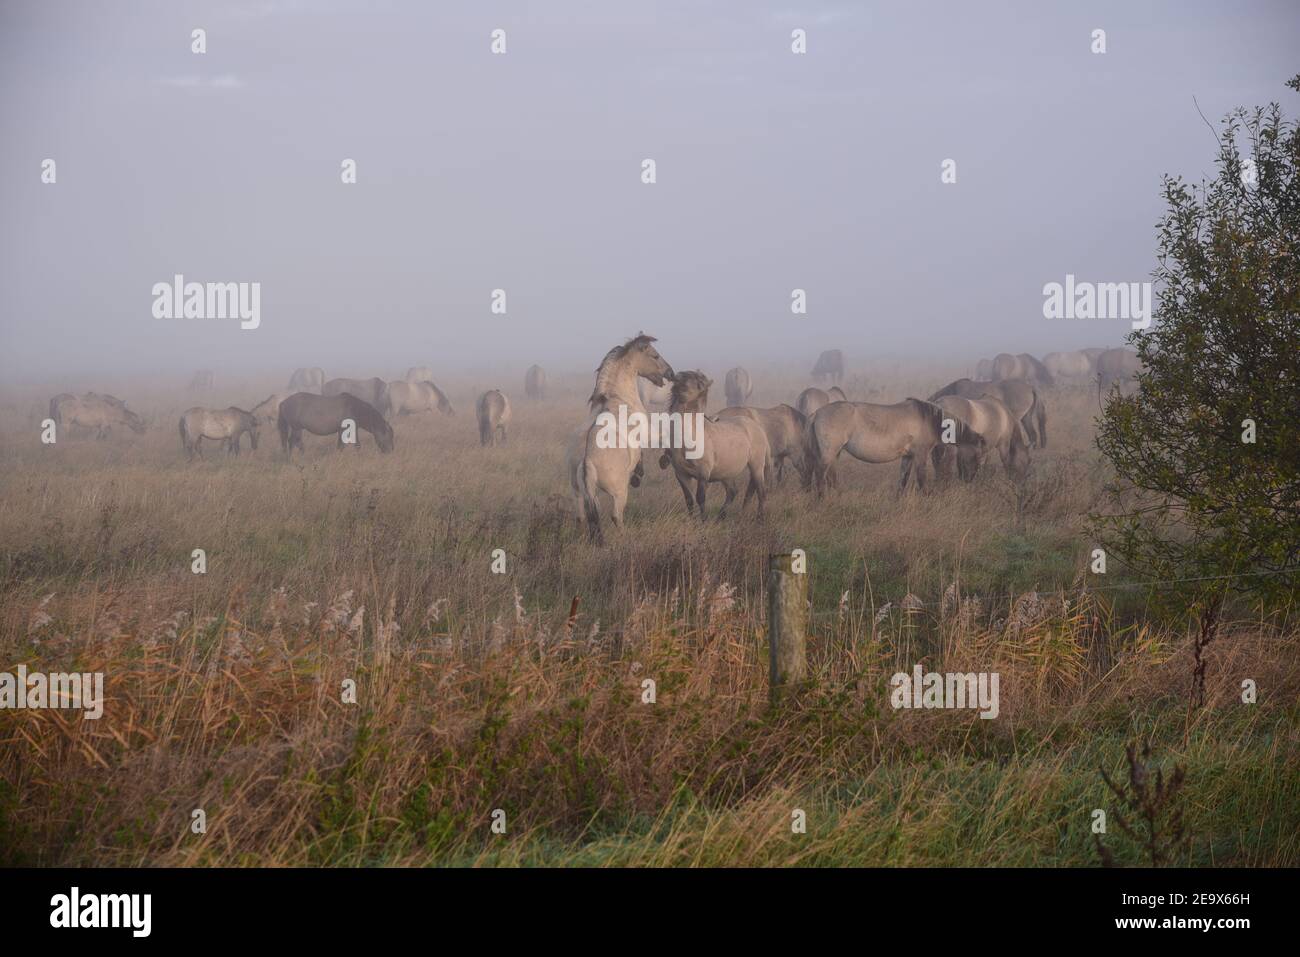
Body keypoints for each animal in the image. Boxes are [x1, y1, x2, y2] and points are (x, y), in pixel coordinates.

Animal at [567, 334, 675, 543]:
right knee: (616, 516)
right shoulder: (648, 434)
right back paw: (626, 539)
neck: (617, 397)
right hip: (619, 492)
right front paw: (662, 461)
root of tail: (587, 462)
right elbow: (664, 437)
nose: (671, 373)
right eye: (655, 356)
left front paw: (639, 472)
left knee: (582, 518)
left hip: (580, 494)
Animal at [660, 372, 770, 520]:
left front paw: (703, 521)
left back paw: (759, 519)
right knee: (733, 492)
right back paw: (720, 517)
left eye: (700, 384)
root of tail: (757, 427)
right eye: (681, 376)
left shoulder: (703, 474)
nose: (680, 388)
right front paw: (692, 520)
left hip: (756, 466)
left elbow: (700, 498)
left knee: (761, 492)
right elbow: (689, 500)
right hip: (726, 473)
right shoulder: (681, 474)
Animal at [806, 398, 984, 498]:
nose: (969, 480)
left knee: (831, 477)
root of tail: (817, 413)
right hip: (829, 452)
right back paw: (821, 500)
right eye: (976, 456)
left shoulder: (908, 456)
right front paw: (928, 497)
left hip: (835, 453)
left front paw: (898, 499)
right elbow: (921, 479)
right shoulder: (920, 455)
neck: (928, 420)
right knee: (821, 474)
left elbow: (903, 479)